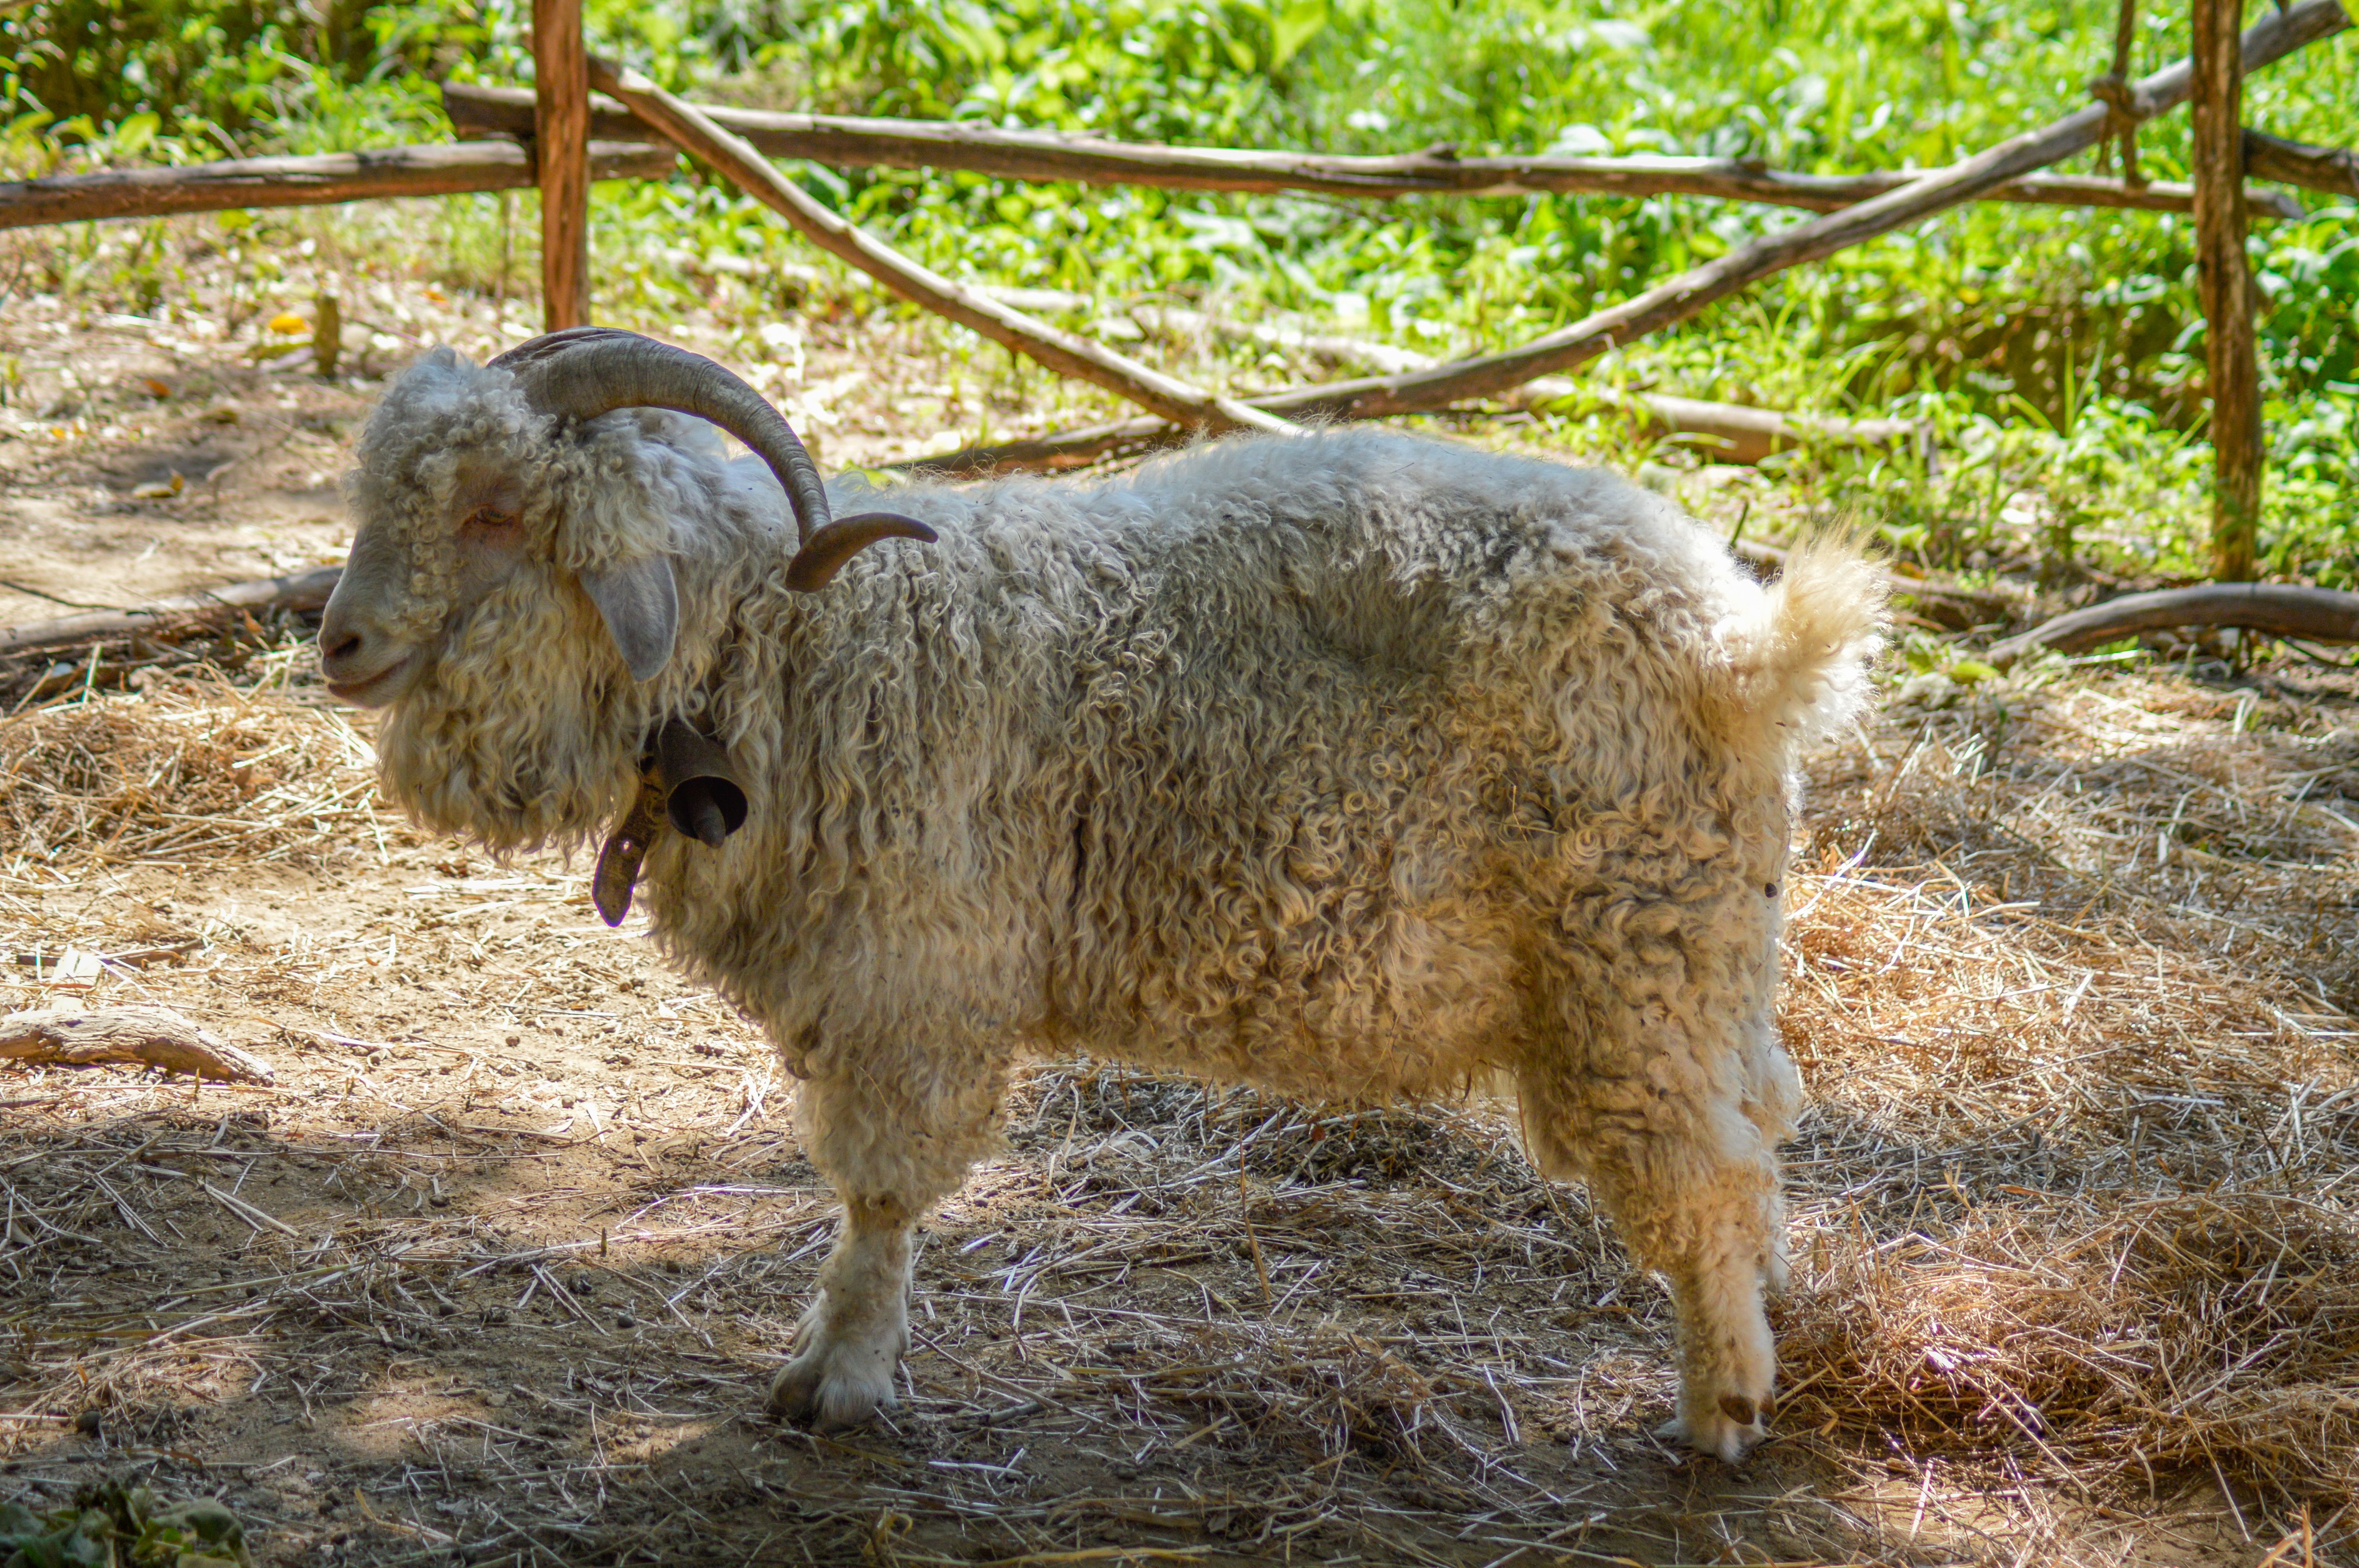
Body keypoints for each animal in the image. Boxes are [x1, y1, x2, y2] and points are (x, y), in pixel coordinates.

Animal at [318, 328, 1881, 1463]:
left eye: (497, 511)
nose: (336, 643)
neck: (785, 635)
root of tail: (1746, 640)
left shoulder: (910, 979)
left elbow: (877, 1192)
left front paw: (839, 1381)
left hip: (1628, 953)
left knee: (1705, 1168)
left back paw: (1717, 1416)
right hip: (1699, 949)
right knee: (1756, 1134)